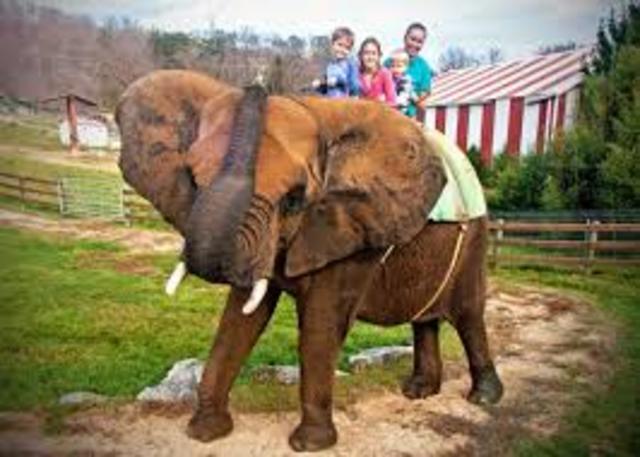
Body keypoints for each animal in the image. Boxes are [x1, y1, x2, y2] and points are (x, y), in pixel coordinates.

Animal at [115, 69, 504, 452]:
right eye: (194, 182)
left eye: (294, 199)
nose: (258, 82)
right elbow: (240, 320)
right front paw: (204, 432)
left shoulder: (353, 231)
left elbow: (320, 325)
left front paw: (309, 444)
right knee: (425, 319)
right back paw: (419, 392)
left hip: (475, 235)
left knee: (468, 313)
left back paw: (483, 398)